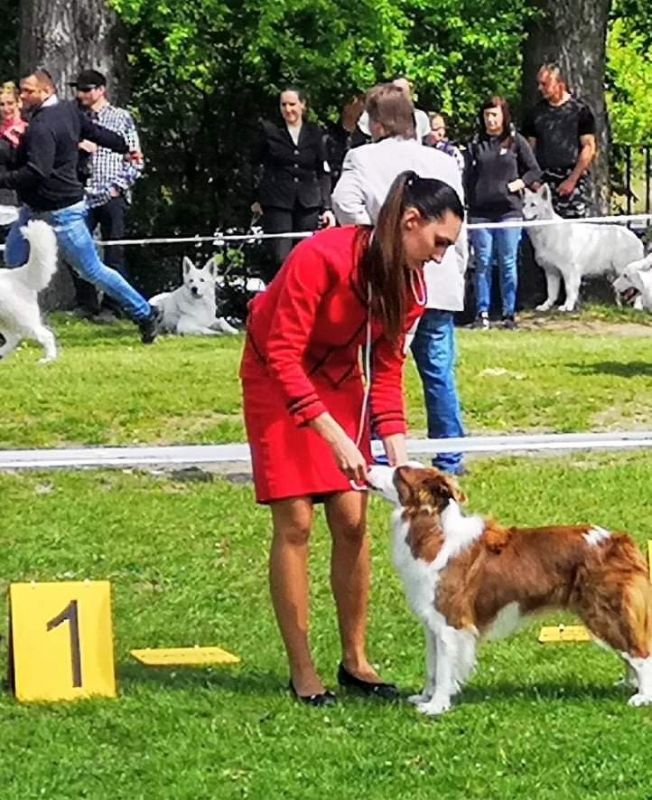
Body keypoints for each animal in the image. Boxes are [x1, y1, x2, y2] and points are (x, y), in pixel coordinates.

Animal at [0, 220, 58, 363]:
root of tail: (18, 274)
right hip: (7, 320)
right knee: (13, 338)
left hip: (21, 319)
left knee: (47, 336)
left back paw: (48, 360)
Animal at [368, 463, 652, 716]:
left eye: (399, 473)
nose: (367, 467)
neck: (432, 532)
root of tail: (620, 542)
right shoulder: (432, 623)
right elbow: (432, 665)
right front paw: (424, 697)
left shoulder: (451, 622)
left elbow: (445, 668)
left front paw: (436, 706)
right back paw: (628, 684)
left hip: (603, 611)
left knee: (640, 652)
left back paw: (642, 697)